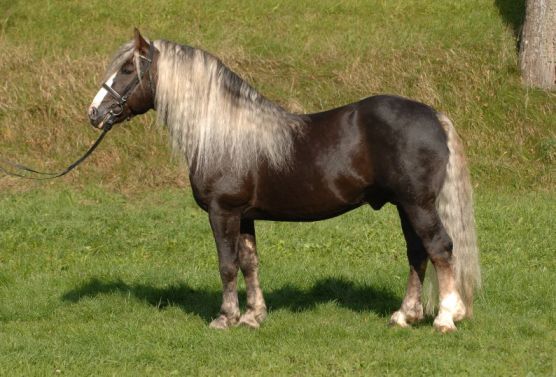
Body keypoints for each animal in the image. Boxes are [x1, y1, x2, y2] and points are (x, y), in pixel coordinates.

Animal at [89, 30, 480, 332]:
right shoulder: (243, 215)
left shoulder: (222, 212)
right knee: (417, 252)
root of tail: (434, 116)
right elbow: (249, 262)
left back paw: (445, 318)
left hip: (417, 204)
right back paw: (405, 315)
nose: (94, 113)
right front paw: (253, 316)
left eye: (128, 69)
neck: (222, 133)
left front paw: (225, 318)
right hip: (405, 205)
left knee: (440, 248)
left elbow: (227, 265)